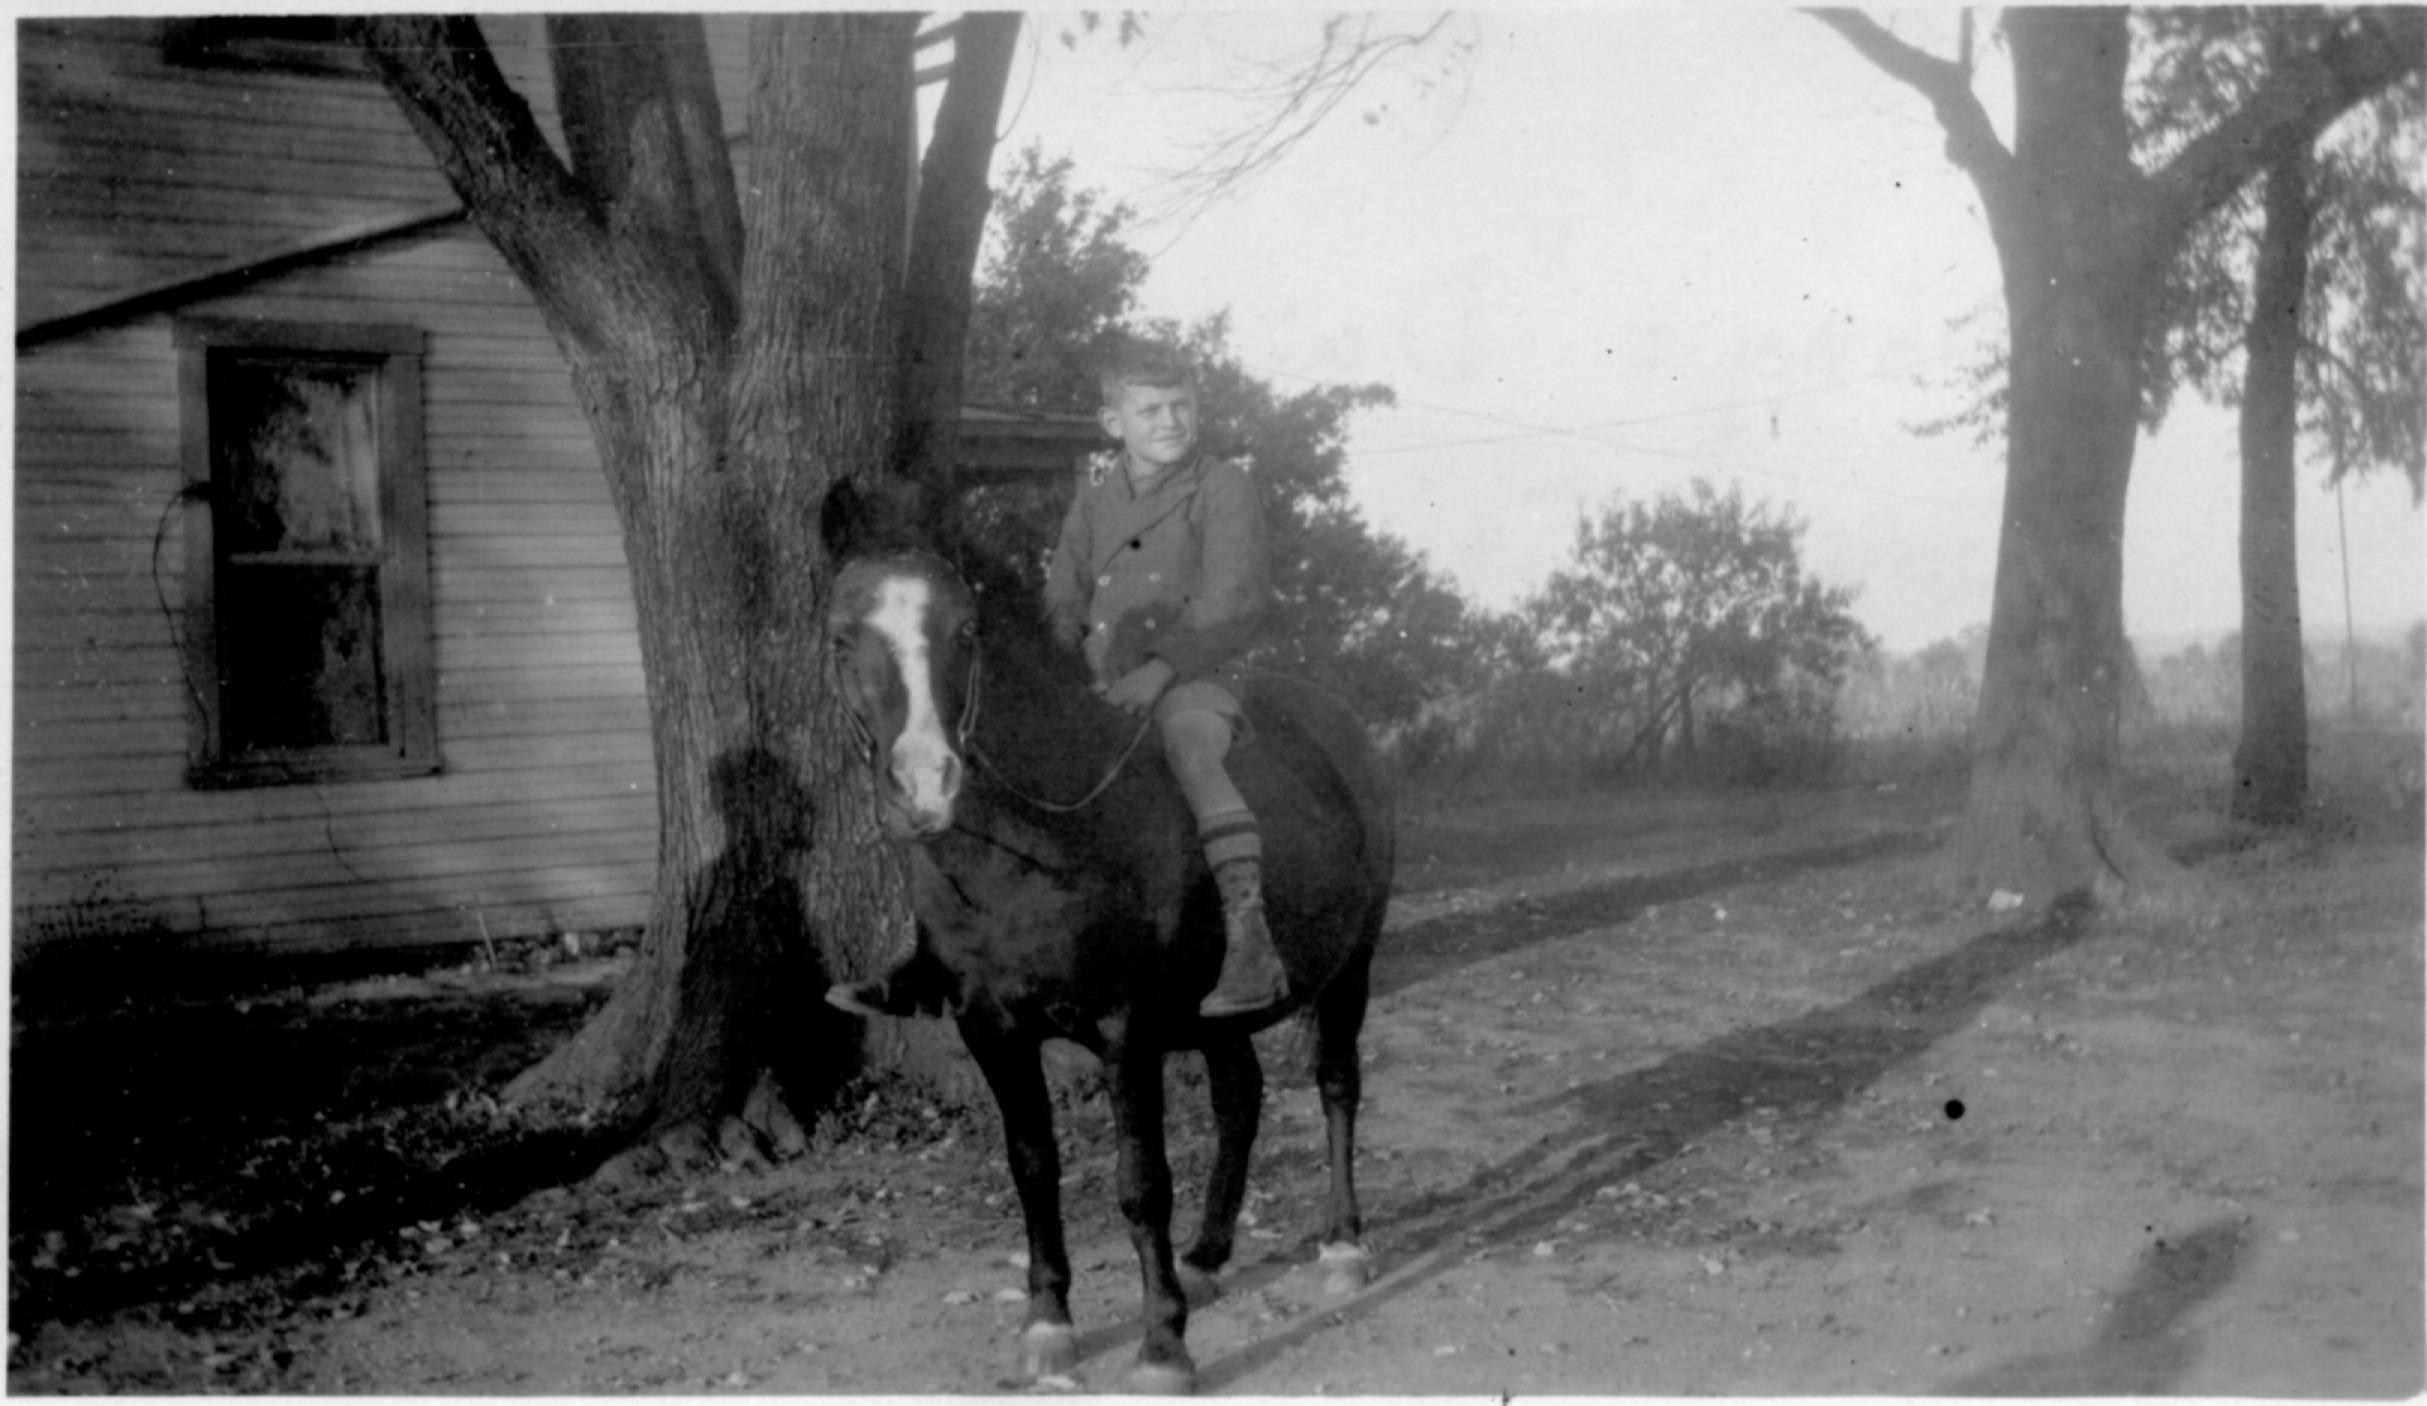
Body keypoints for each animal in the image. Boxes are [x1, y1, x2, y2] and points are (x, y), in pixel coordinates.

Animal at [820, 489, 1394, 1394]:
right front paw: (1049, 1326)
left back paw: (1341, 1245)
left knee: (1337, 1086)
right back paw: (1205, 1256)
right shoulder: (992, 1031)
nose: (923, 786)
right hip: (1215, 1013)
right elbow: (1032, 1168)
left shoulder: (1126, 1030)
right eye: (844, 638)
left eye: (965, 631)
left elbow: (1140, 1182)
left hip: (1350, 970)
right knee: (1240, 1097)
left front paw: (1162, 1346)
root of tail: (1343, 729)